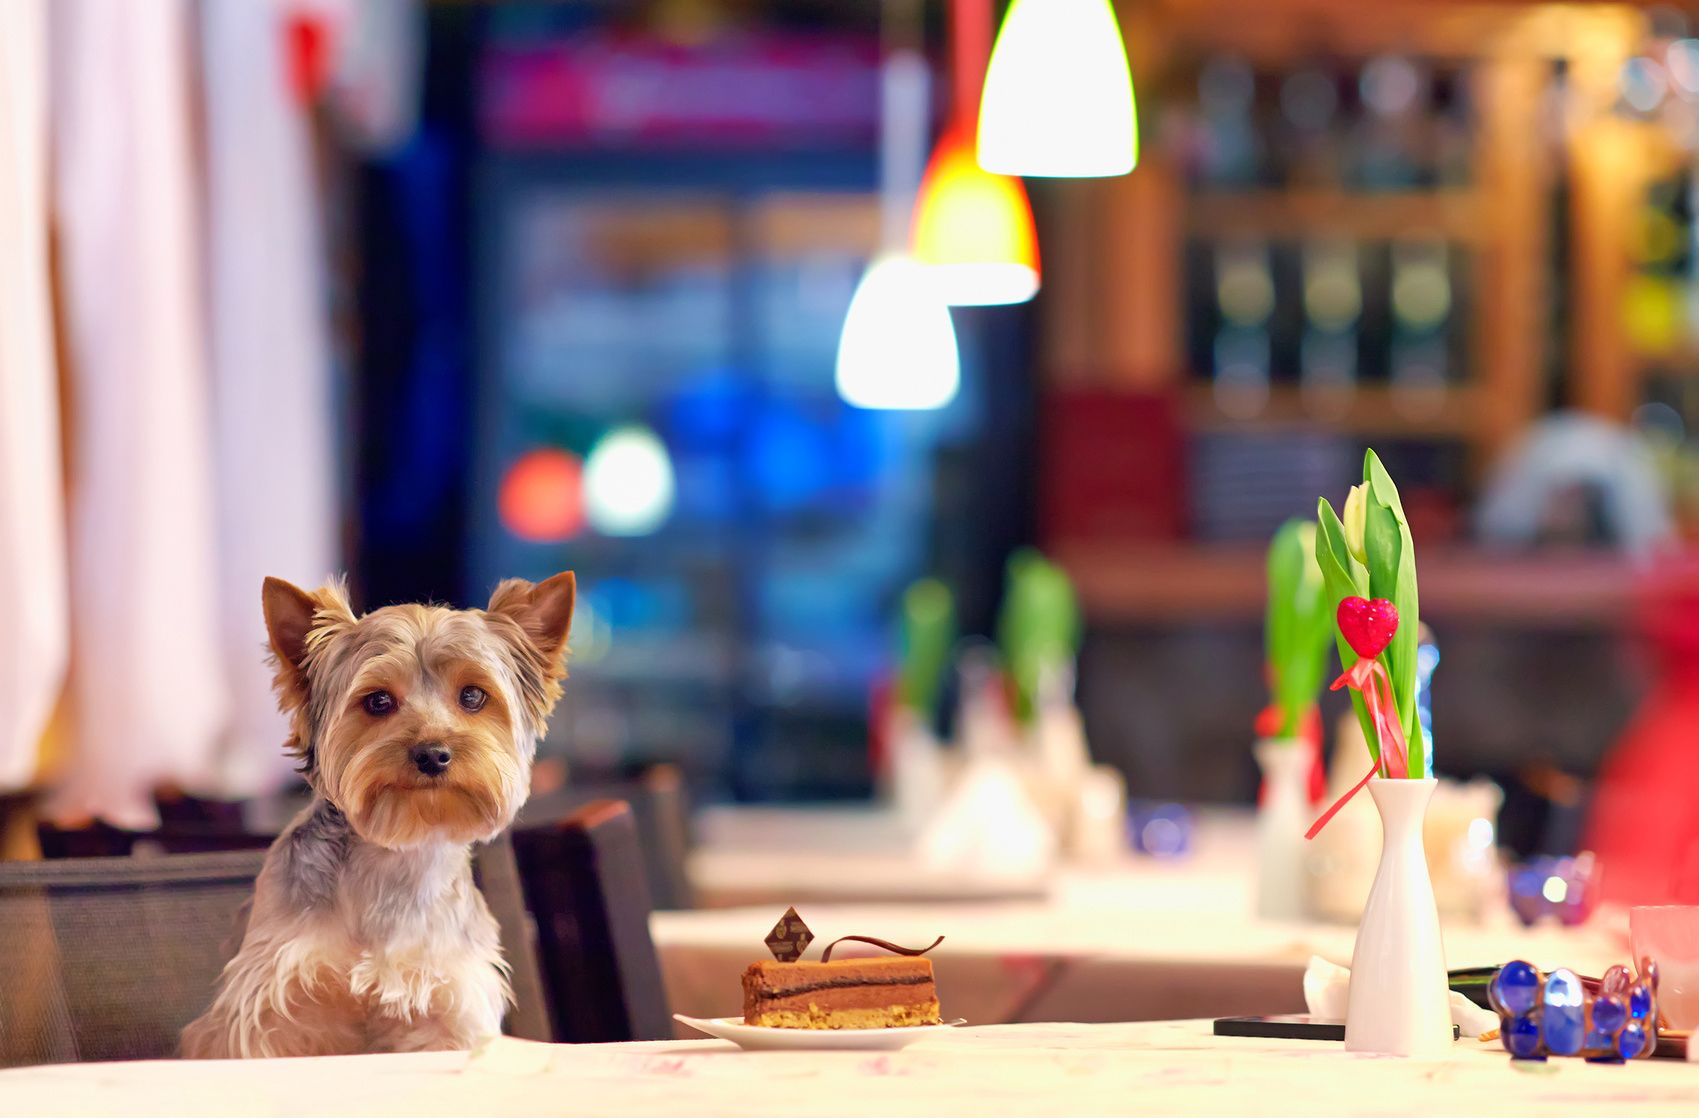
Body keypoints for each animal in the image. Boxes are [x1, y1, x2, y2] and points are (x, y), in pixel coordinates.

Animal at [183, 570, 574, 1046]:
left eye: (473, 696)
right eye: (378, 701)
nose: (432, 754)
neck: (395, 854)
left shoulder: (448, 1005)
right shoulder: (272, 1006)